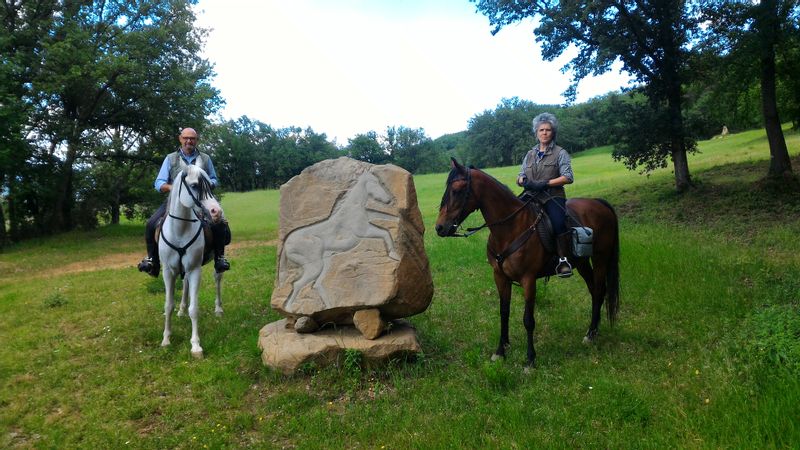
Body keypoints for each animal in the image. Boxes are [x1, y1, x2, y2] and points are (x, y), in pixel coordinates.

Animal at [159, 165, 223, 358]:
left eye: (211, 186)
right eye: (194, 186)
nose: (217, 212)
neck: (180, 229)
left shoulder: (195, 269)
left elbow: (194, 309)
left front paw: (195, 346)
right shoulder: (168, 271)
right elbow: (168, 305)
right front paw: (166, 339)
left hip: (216, 264)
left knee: (217, 279)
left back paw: (218, 309)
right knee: (185, 283)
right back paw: (181, 310)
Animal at [278, 169, 400, 310]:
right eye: (375, 182)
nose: (389, 200)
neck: (353, 209)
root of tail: (286, 243)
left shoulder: (370, 218)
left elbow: (385, 216)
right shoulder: (364, 232)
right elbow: (385, 232)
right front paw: (394, 255)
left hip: (326, 261)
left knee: (316, 284)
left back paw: (329, 307)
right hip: (314, 265)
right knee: (298, 284)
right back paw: (290, 308)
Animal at [438, 160, 620, 368]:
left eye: (457, 190)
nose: (440, 227)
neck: (511, 228)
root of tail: (598, 202)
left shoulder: (528, 279)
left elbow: (528, 320)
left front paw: (530, 360)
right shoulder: (500, 277)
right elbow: (504, 312)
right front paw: (501, 351)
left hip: (600, 258)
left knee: (599, 290)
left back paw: (591, 334)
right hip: (581, 262)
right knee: (594, 291)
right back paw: (592, 331)